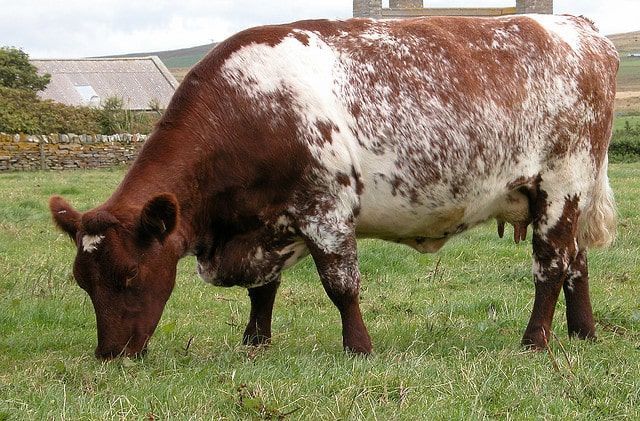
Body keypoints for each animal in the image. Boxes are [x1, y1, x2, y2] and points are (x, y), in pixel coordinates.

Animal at [50, 14, 618, 359]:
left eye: (128, 276)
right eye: (83, 282)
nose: (110, 355)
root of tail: (581, 29)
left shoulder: (326, 209)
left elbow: (341, 286)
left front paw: (359, 347)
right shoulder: (267, 224)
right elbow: (263, 290)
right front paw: (254, 342)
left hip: (562, 182)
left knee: (551, 265)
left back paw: (535, 341)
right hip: (568, 195)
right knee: (577, 260)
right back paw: (584, 331)